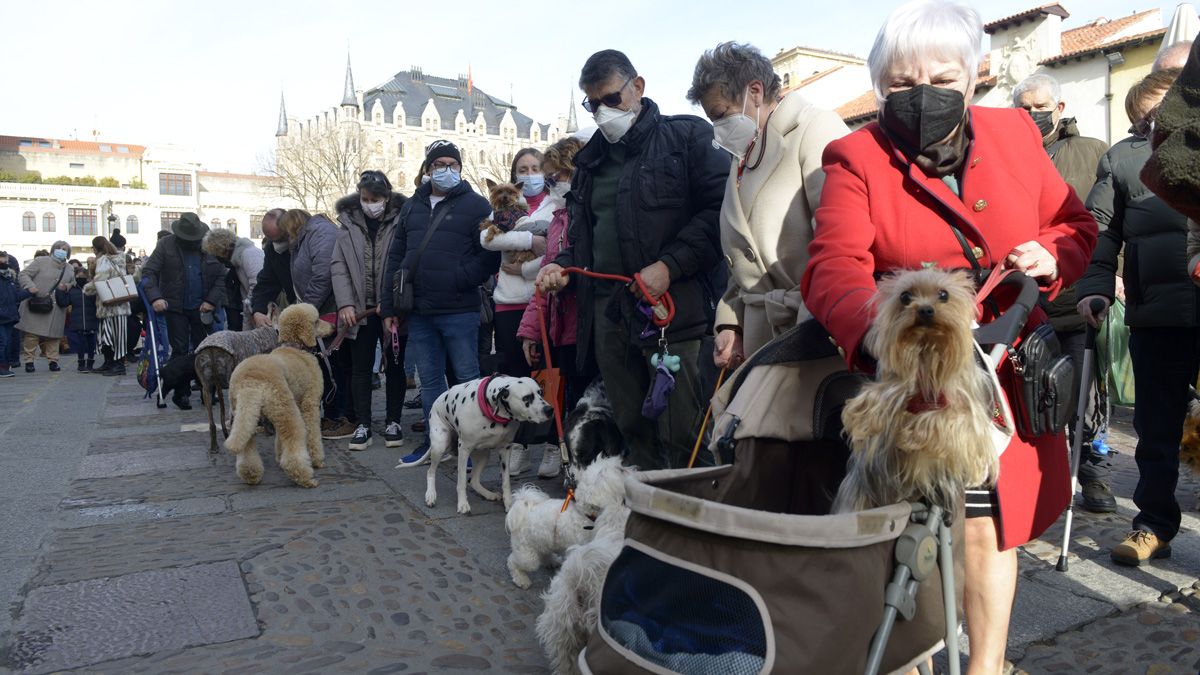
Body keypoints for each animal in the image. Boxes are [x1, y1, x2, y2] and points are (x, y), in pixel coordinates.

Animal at [424, 374, 554, 511]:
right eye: (526, 398)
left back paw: (488, 494)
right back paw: (431, 495)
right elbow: (461, 480)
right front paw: (463, 503)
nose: (550, 410)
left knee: (473, 480)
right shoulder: (464, 449)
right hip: (439, 446)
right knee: (431, 471)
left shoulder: (506, 449)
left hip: (484, 455)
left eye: (541, 392)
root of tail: (436, 401)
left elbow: (506, 482)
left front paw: (509, 504)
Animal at [504, 451, 628, 588]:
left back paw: (551, 561)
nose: (625, 466)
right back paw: (521, 579)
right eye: (619, 470)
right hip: (527, 554)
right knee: (513, 561)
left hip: (542, 540)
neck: (585, 514)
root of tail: (524, 511)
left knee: (543, 553)